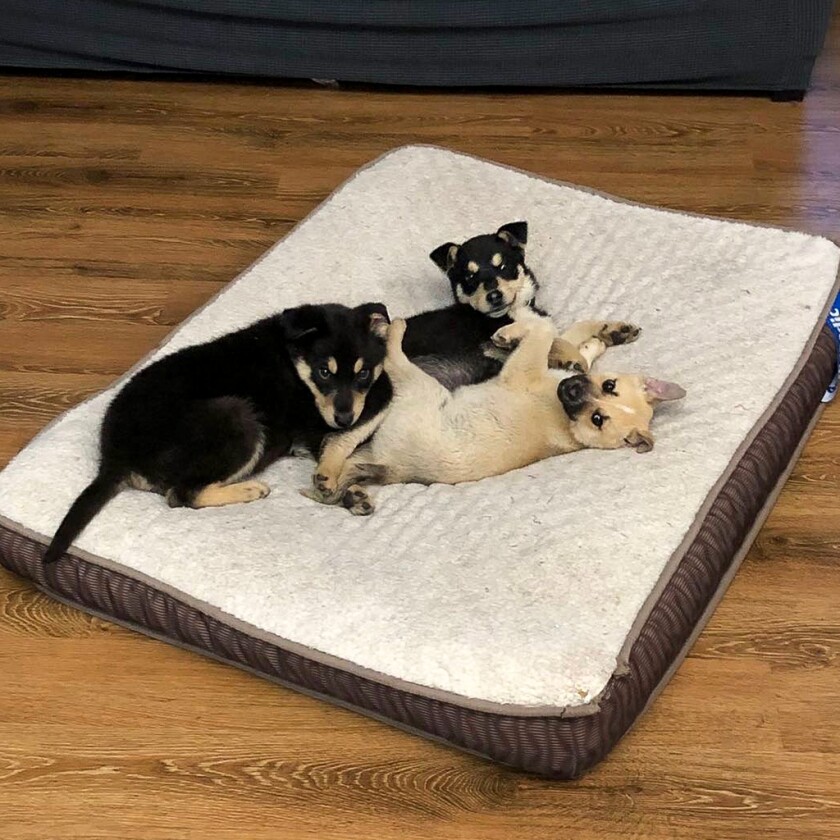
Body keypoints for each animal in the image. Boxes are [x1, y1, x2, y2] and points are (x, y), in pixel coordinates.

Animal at [42, 302, 390, 564]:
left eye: (363, 372)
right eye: (324, 372)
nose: (344, 418)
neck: (294, 361)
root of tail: (114, 460)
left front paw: (347, 490)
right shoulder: (313, 424)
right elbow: (337, 448)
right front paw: (340, 482)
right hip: (237, 418)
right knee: (183, 494)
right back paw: (249, 489)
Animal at [306, 312, 684, 516]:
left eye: (597, 420)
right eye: (609, 386)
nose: (571, 391)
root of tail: (395, 467)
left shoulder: (524, 365)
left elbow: (545, 329)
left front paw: (513, 331)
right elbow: (568, 339)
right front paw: (604, 336)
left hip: (409, 392)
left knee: (338, 441)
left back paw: (392, 329)